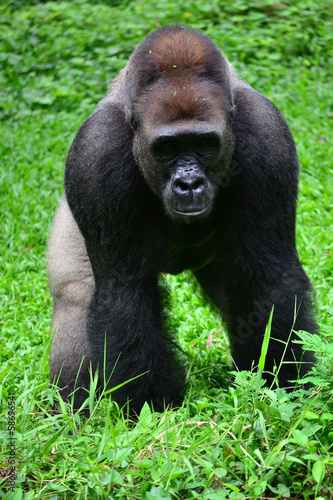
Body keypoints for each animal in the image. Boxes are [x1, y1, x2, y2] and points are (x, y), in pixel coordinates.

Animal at [48, 25, 318, 414]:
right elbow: (124, 292)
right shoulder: (94, 153)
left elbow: (269, 277)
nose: (188, 184)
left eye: (204, 143)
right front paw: (150, 405)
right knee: (76, 298)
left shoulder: (269, 137)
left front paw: (282, 386)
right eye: (168, 147)